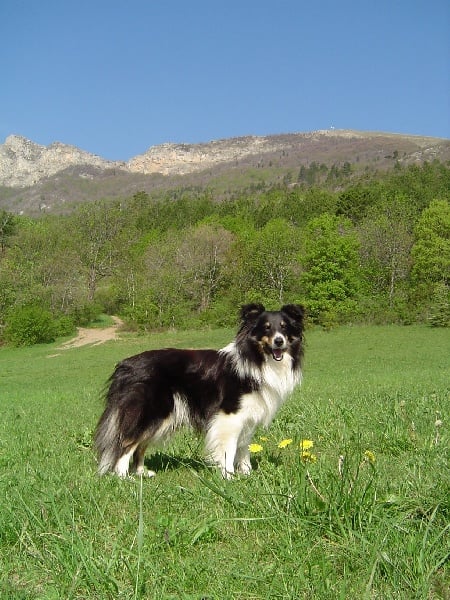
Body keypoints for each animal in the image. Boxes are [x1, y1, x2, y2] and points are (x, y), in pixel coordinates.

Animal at [95, 304, 306, 478]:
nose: (279, 341)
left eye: (285, 327)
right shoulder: (230, 415)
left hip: (160, 418)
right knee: (126, 443)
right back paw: (124, 477)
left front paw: (247, 474)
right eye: (266, 327)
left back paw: (141, 473)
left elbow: (244, 446)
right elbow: (229, 448)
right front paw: (228, 476)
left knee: (140, 445)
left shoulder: (248, 415)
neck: (257, 359)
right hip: (149, 411)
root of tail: (124, 365)